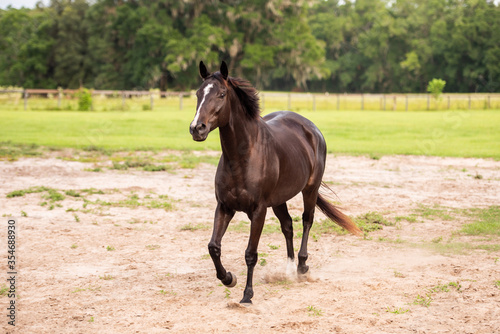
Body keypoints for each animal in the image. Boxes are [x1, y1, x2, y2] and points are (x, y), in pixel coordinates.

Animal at [188, 61, 360, 304]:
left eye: (221, 94)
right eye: (198, 93)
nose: (197, 128)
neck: (242, 157)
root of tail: (310, 128)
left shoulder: (258, 211)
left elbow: (250, 254)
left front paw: (247, 295)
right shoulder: (224, 207)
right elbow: (213, 247)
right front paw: (228, 278)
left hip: (309, 189)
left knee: (306, 220)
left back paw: (302, 266)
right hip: (279, 200)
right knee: (287, 226)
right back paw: (288, 270)